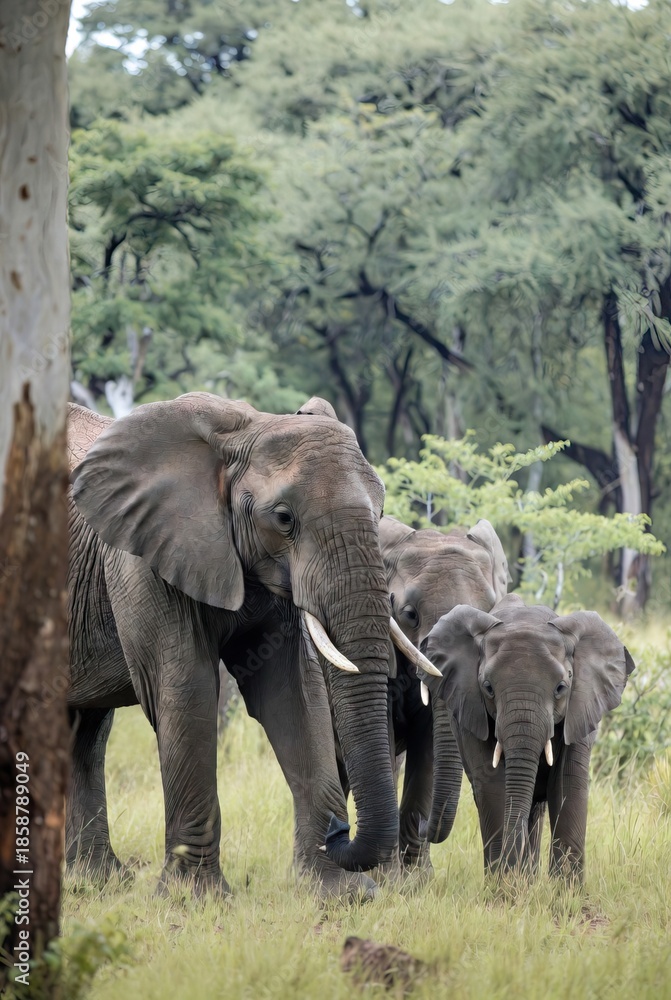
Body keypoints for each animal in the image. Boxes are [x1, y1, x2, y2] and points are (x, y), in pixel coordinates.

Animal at [66, 392, 433, 899]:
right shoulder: (139, 555)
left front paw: (341, 894)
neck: (245, 428)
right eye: (283, 518)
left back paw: (95, 881)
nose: (341, 830)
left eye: (380, 513)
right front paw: (194, 899)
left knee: (87, 730)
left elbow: (295, 693)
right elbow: (187, 687)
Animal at [376, 515, 510, 873]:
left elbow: (429, 748)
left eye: (489, 612)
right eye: (409, 614)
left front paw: (417, 879)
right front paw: (389, 878)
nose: (425, 825)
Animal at [424, 594, 635, 881]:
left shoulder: (581, 708)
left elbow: (567, 783)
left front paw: (565, 891)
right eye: (488, 687)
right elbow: (492, 785)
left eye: (561, 688)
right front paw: (505, 887)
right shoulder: (470, 709)